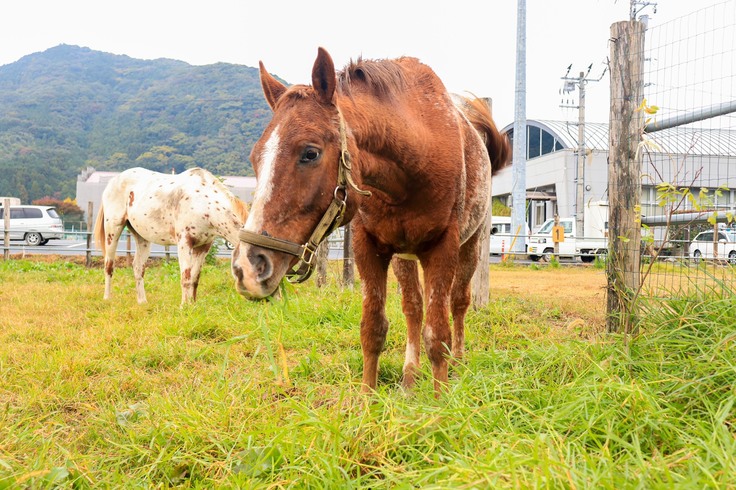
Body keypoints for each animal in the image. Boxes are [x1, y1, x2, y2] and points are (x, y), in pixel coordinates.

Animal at [233, 48, 508, 394]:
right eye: (255, 158)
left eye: (310, 153)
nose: (247, 267)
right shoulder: (369, 247)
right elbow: (373, 329)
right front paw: (367, 397)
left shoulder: (441, 247)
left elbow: (438, 334)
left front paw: (440, 398)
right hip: (405, 256)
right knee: (413, 308)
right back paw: (409, 375)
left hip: (469, 247)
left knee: (459, 302)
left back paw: (457, 365)